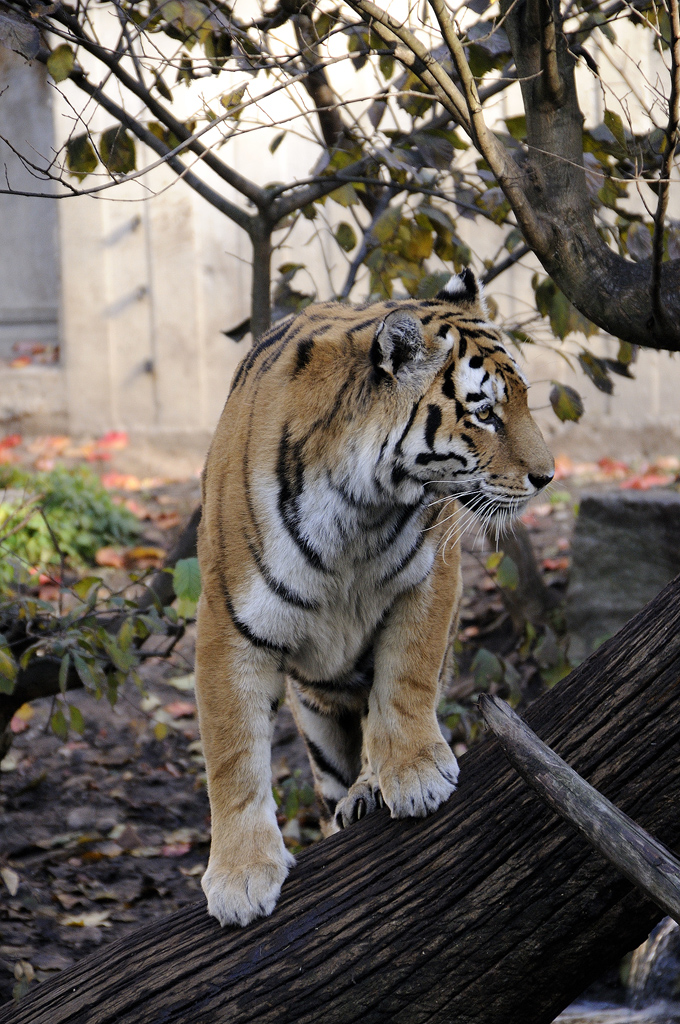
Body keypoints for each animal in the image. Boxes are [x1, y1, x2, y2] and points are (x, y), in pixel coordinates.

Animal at [193, 268, 557, 925]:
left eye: (520, 398)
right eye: (485, 412)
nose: (547, 478)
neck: (359, 507)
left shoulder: (431, 577)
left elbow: (406, 676)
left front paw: (413, 773)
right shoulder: (227, 623)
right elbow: (232, 754)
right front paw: (239, 877)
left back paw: (368, 790)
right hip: (315, 712)